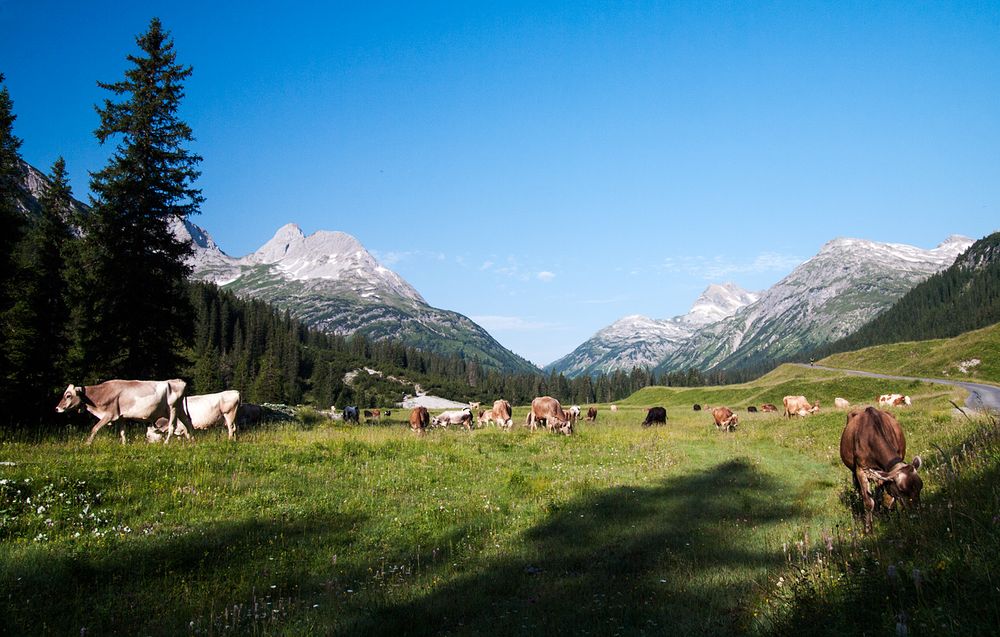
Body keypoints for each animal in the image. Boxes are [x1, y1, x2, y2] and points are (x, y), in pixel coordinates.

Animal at [55, 378, 192, 442]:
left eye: (68, 395)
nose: (57, 408)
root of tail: (178, 380)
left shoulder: (109, 415)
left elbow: (94, 428)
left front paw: (87, 444)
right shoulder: (121, 417)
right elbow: (122, 432)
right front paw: (124, 445)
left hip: (173, 408)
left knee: (172, 427)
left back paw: (166, 443)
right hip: (179, 409)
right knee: (188, 423)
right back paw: (192, 441)